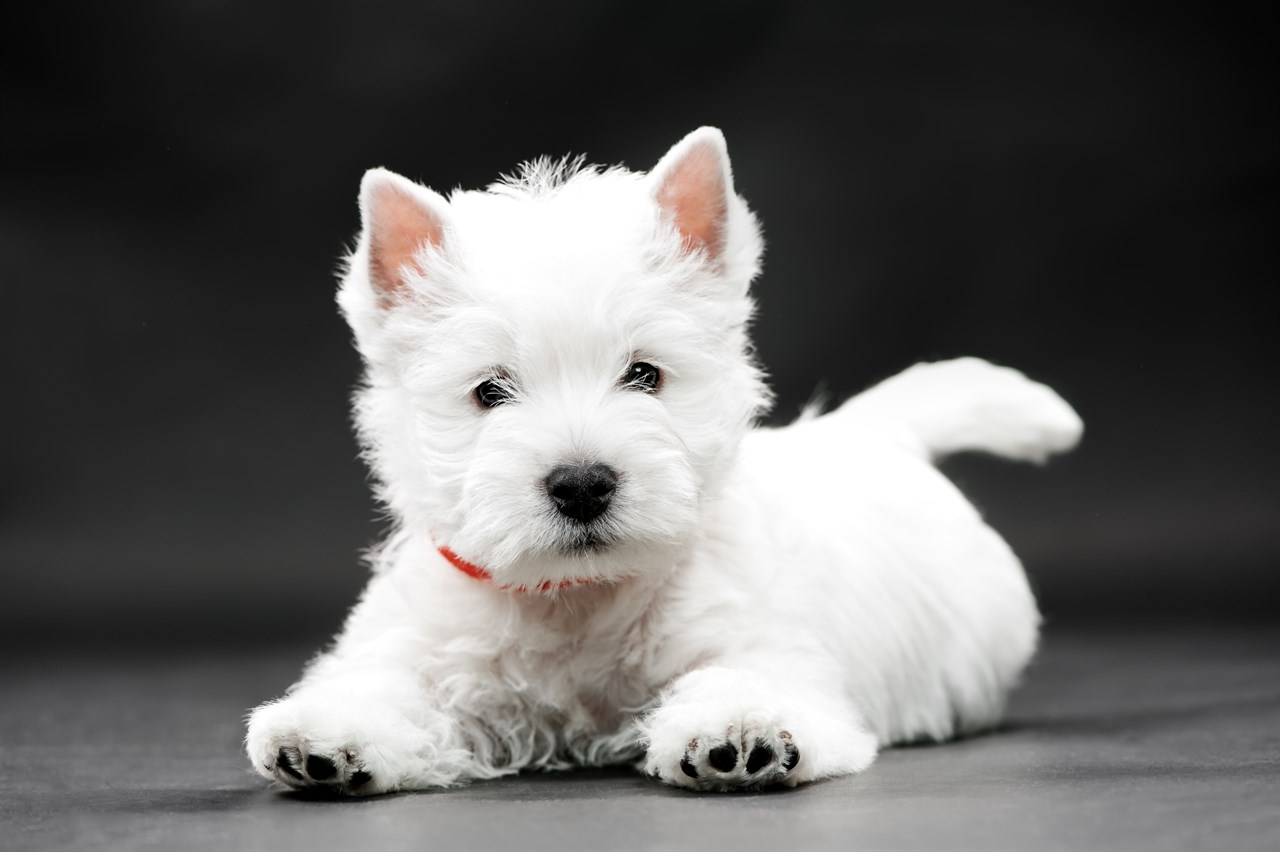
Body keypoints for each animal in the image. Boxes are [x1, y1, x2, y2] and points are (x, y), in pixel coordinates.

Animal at [241, 126, 1080, 788]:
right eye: (489, 391)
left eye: (644, 374)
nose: (582, 485)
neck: (576, 598)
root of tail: (873, 433)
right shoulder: (419, 646)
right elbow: (385, 685)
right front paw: (326, 737)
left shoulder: (768, 646)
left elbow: (745, 677)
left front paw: (740, 731)